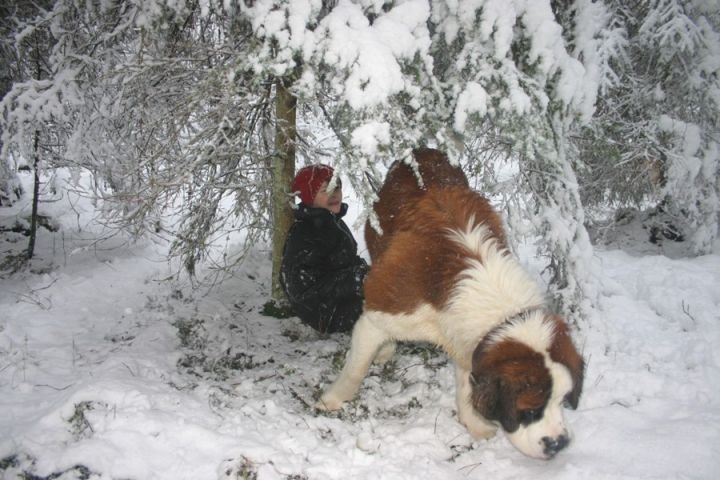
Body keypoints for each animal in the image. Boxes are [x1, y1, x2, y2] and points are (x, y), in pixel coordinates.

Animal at [317, 148, 585, 459]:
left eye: (563, 401)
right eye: (530, 410)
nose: (560, 443)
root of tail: (421, 150)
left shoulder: (466, 336)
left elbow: (467, 384)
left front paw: (474, 424)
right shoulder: (378, 313)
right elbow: (356, 368)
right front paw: (334, 398)